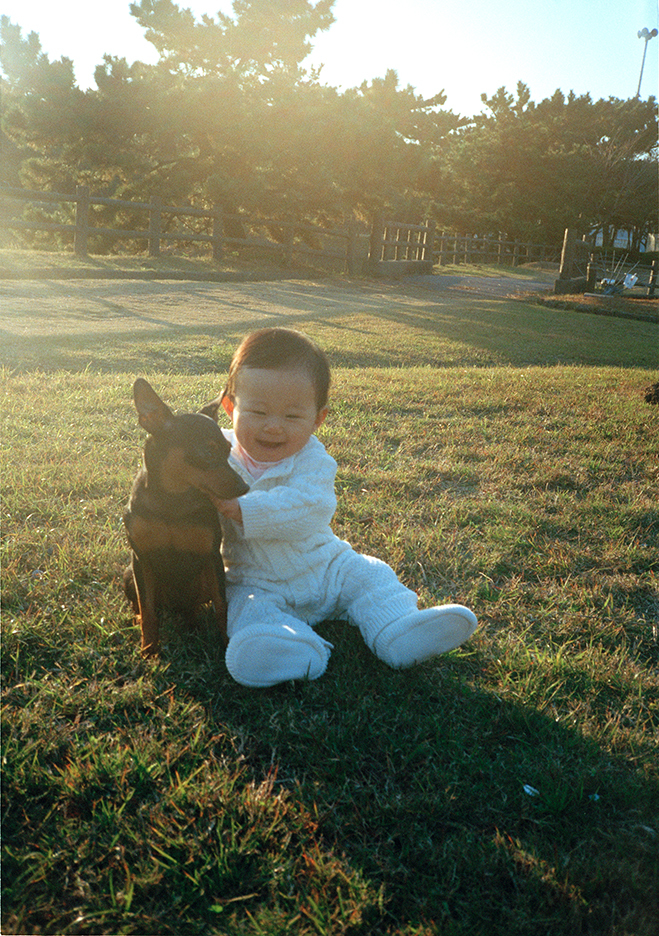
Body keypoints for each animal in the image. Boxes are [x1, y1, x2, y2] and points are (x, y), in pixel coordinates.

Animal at [123, 378, 248, 655]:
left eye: (228, 450)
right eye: (207, 453)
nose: (244, 487)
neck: (172, 501)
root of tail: (175, 607)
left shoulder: (212, 557)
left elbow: (222, 607)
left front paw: (226, 644)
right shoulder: (141, 558)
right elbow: (147, 608)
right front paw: (149, 649)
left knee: (193, 608)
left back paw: (193, 623)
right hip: (128, 574)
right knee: (145, 605)